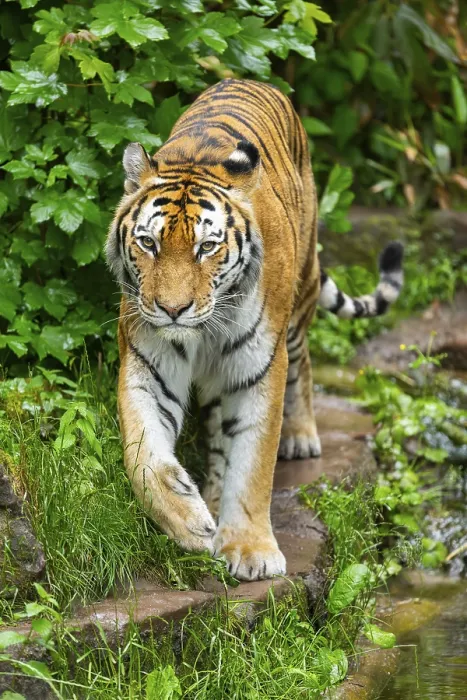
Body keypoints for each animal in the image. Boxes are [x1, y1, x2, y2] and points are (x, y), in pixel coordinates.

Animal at [106, 78, 403, 581]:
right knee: (217, 433)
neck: (202, 331)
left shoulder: (259, 365)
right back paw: (210, 495)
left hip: (301, 299)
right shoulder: (148, 364)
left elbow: (253, 460)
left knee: (304, 362)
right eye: (148, 242)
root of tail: (248, 80)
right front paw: (190, 521)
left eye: (207, 247)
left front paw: (250, 550)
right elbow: (142, 456)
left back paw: (301, 437)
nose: (172, 310)